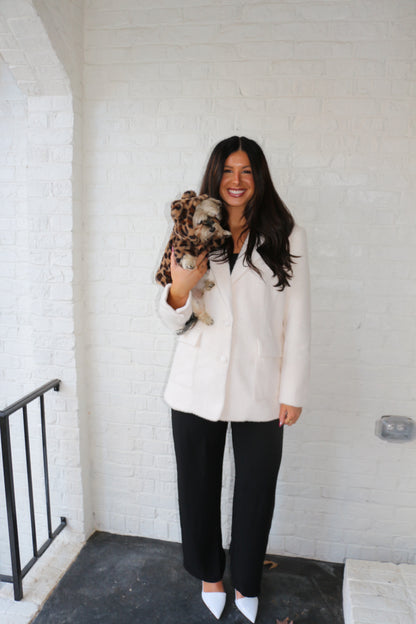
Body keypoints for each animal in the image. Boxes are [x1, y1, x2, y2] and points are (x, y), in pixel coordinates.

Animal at [156, 190, 231, 326]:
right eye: (200, 222)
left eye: (213, 217)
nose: (212, 227)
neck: (199, 240)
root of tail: (197, 291)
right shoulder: (180, 248)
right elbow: (187, 255)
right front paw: (190, 263)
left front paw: (223, 232)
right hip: (193, 302)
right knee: (199, 313)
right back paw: (207, 318)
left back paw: (208, 285)